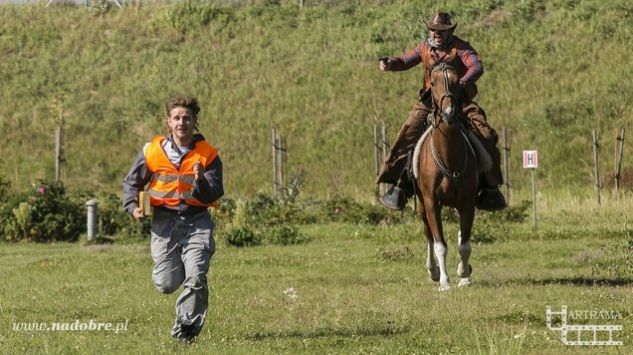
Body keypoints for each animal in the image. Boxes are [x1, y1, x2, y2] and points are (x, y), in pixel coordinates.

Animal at [412, 63, 476, 292]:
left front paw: (464, 273)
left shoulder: (468, 202)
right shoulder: (431, 202)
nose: (449, 113)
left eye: (458, 82)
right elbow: (440, 244)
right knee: (429, 235)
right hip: (423, 206)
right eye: (433, 83)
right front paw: (444, 282)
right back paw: (433, 271)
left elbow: (464, 245)